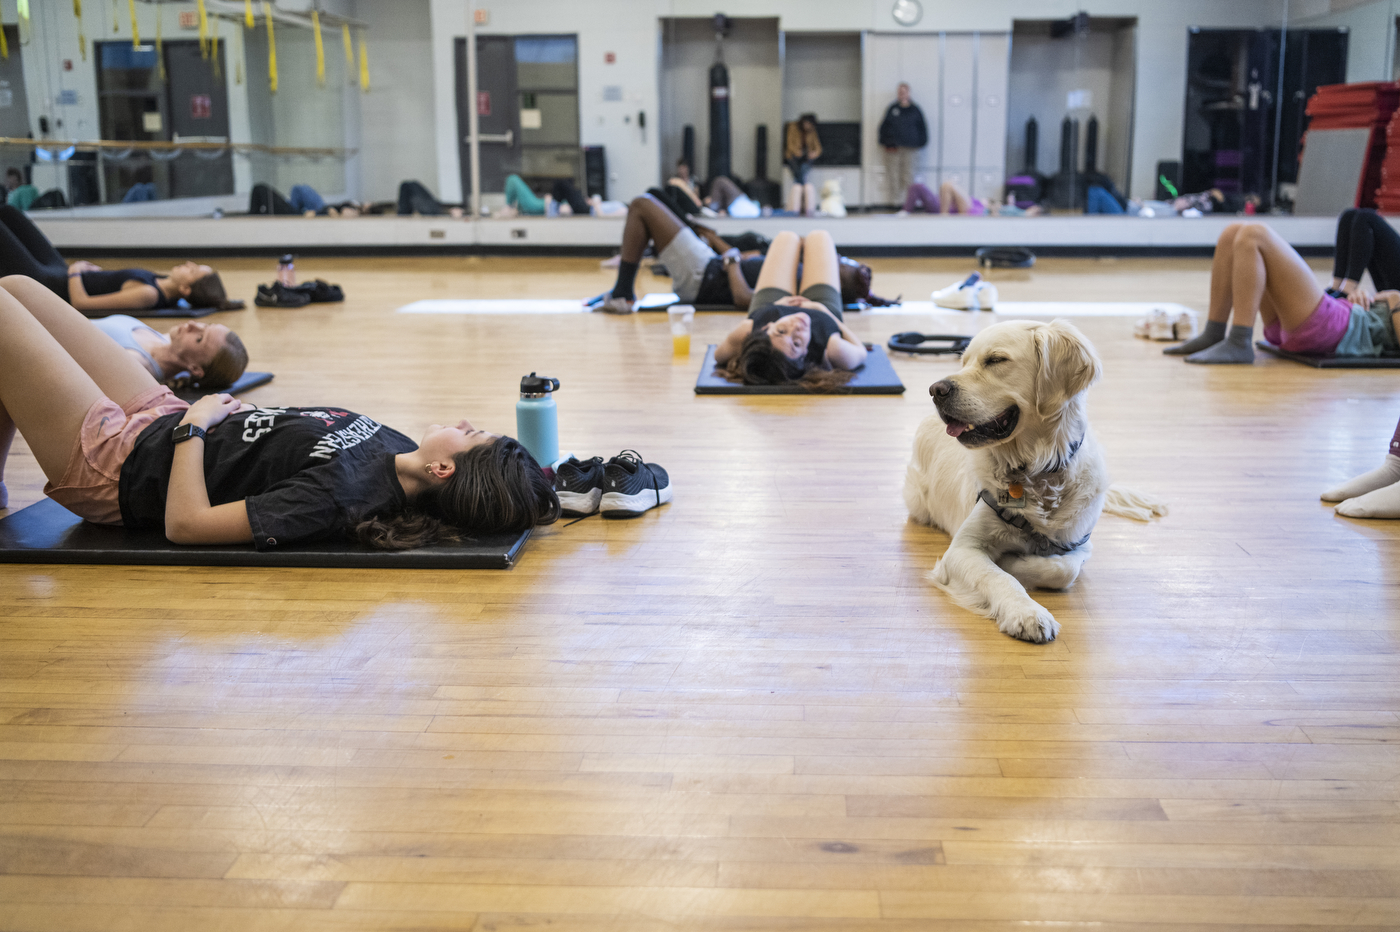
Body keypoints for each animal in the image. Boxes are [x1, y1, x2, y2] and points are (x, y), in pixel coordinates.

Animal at [901, 319, 1164, 638]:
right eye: (963, 362)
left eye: (996, 360)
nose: (935, 389)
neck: (1035, 471)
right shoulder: (962, 549)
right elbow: (997, 576)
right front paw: (1025, 612)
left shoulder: (1080, 544)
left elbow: (1063, 570)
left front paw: (1015, 560)